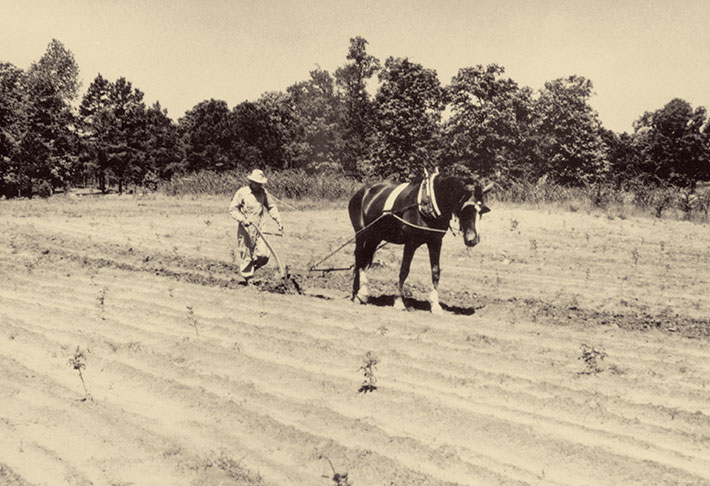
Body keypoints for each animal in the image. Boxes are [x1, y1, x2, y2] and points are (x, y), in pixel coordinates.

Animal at [350, 173, 496, 314]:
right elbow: (404, 270)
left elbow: (435, 271)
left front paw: (435, 305)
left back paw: (359, 293)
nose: (473, 240)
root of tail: (362, 191)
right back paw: (358, 294)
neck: (428, 203)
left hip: (375, 236)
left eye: (481, 211)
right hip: (361, 233)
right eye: (466, 209)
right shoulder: (411, 242)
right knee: (359, 257)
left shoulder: (435, 241)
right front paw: (399, 302)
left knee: (364, 259)